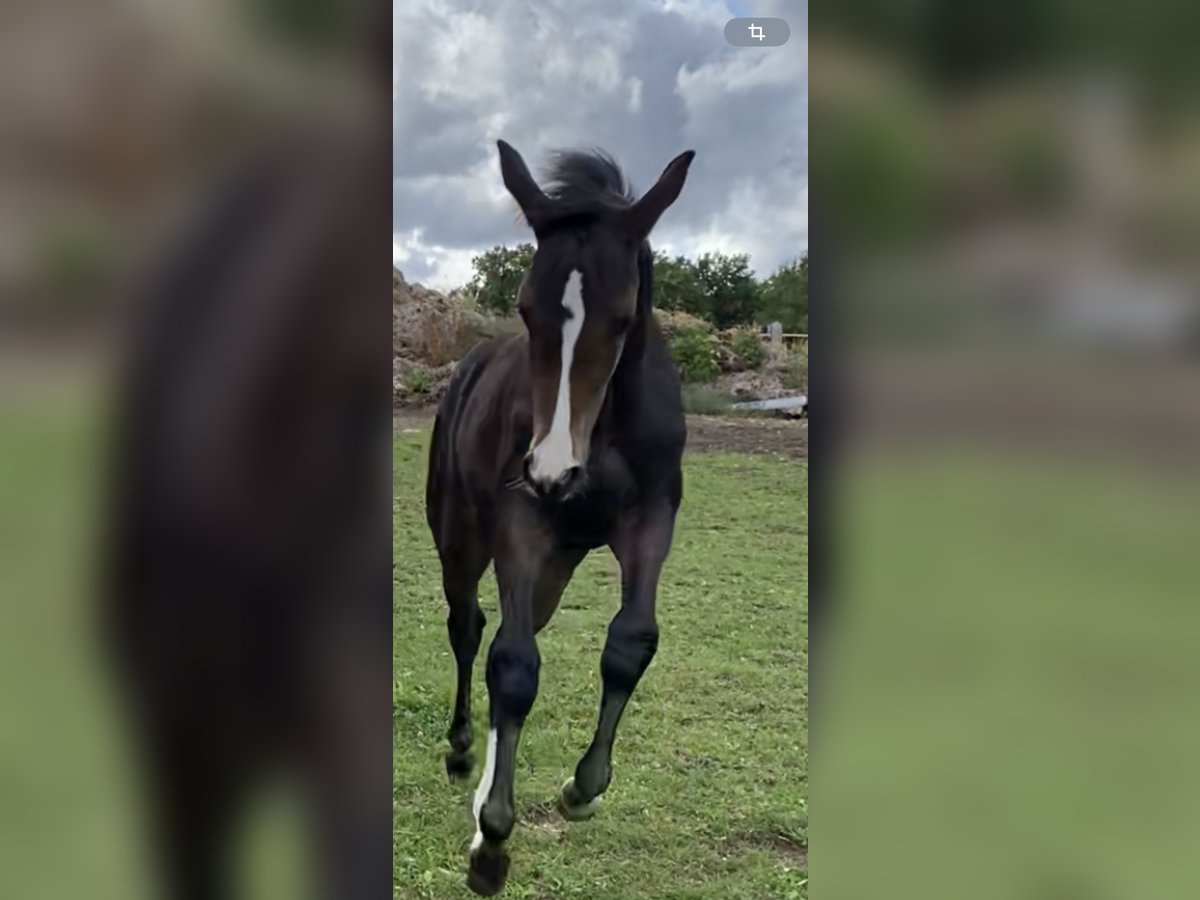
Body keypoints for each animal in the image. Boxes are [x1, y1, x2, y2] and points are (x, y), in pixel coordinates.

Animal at [425, 139, 695, 896]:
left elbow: (631, 641)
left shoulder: (652, 517)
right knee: (470, 630)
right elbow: (512, 664)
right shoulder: (522, 519)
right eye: (523, 307)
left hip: (560, 562)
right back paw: (462, 759)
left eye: (624, 317)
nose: (552, 470)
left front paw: (582, 789)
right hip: (461, 536)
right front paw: (491, 846)